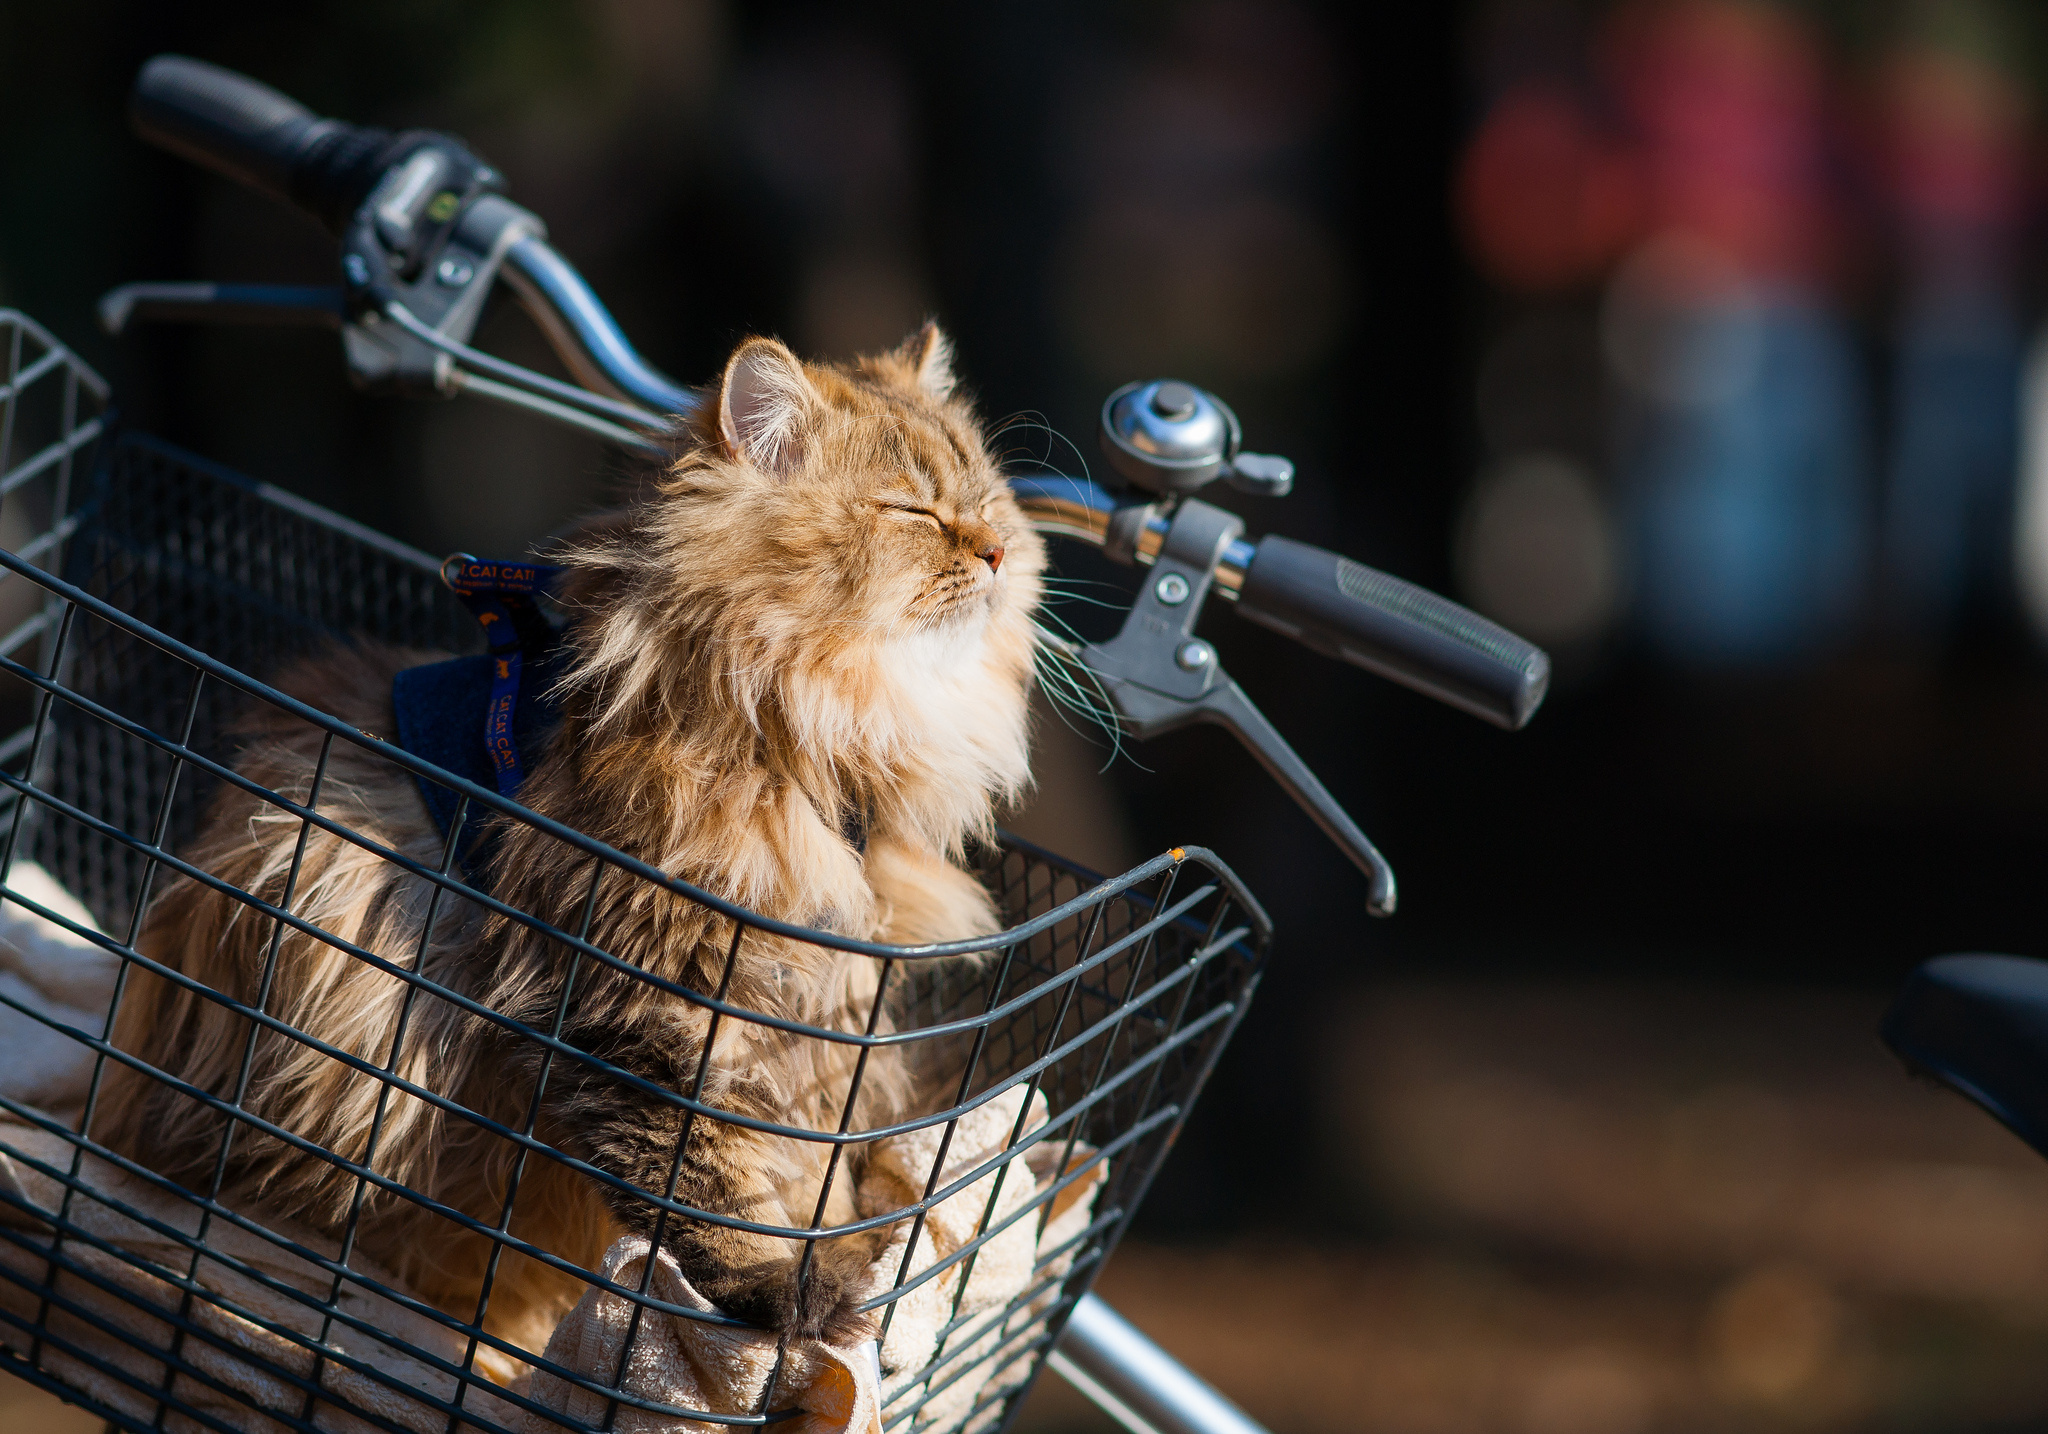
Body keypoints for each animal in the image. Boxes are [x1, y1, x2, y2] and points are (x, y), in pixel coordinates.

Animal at [105, 325, 1048, 1368]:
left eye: (989, 506)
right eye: (912, 511)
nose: (998, 551)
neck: (804, 734)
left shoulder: (816, 1018)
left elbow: (814, 1175)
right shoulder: (640, 997)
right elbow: (710, 1180)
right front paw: (793, 1303)